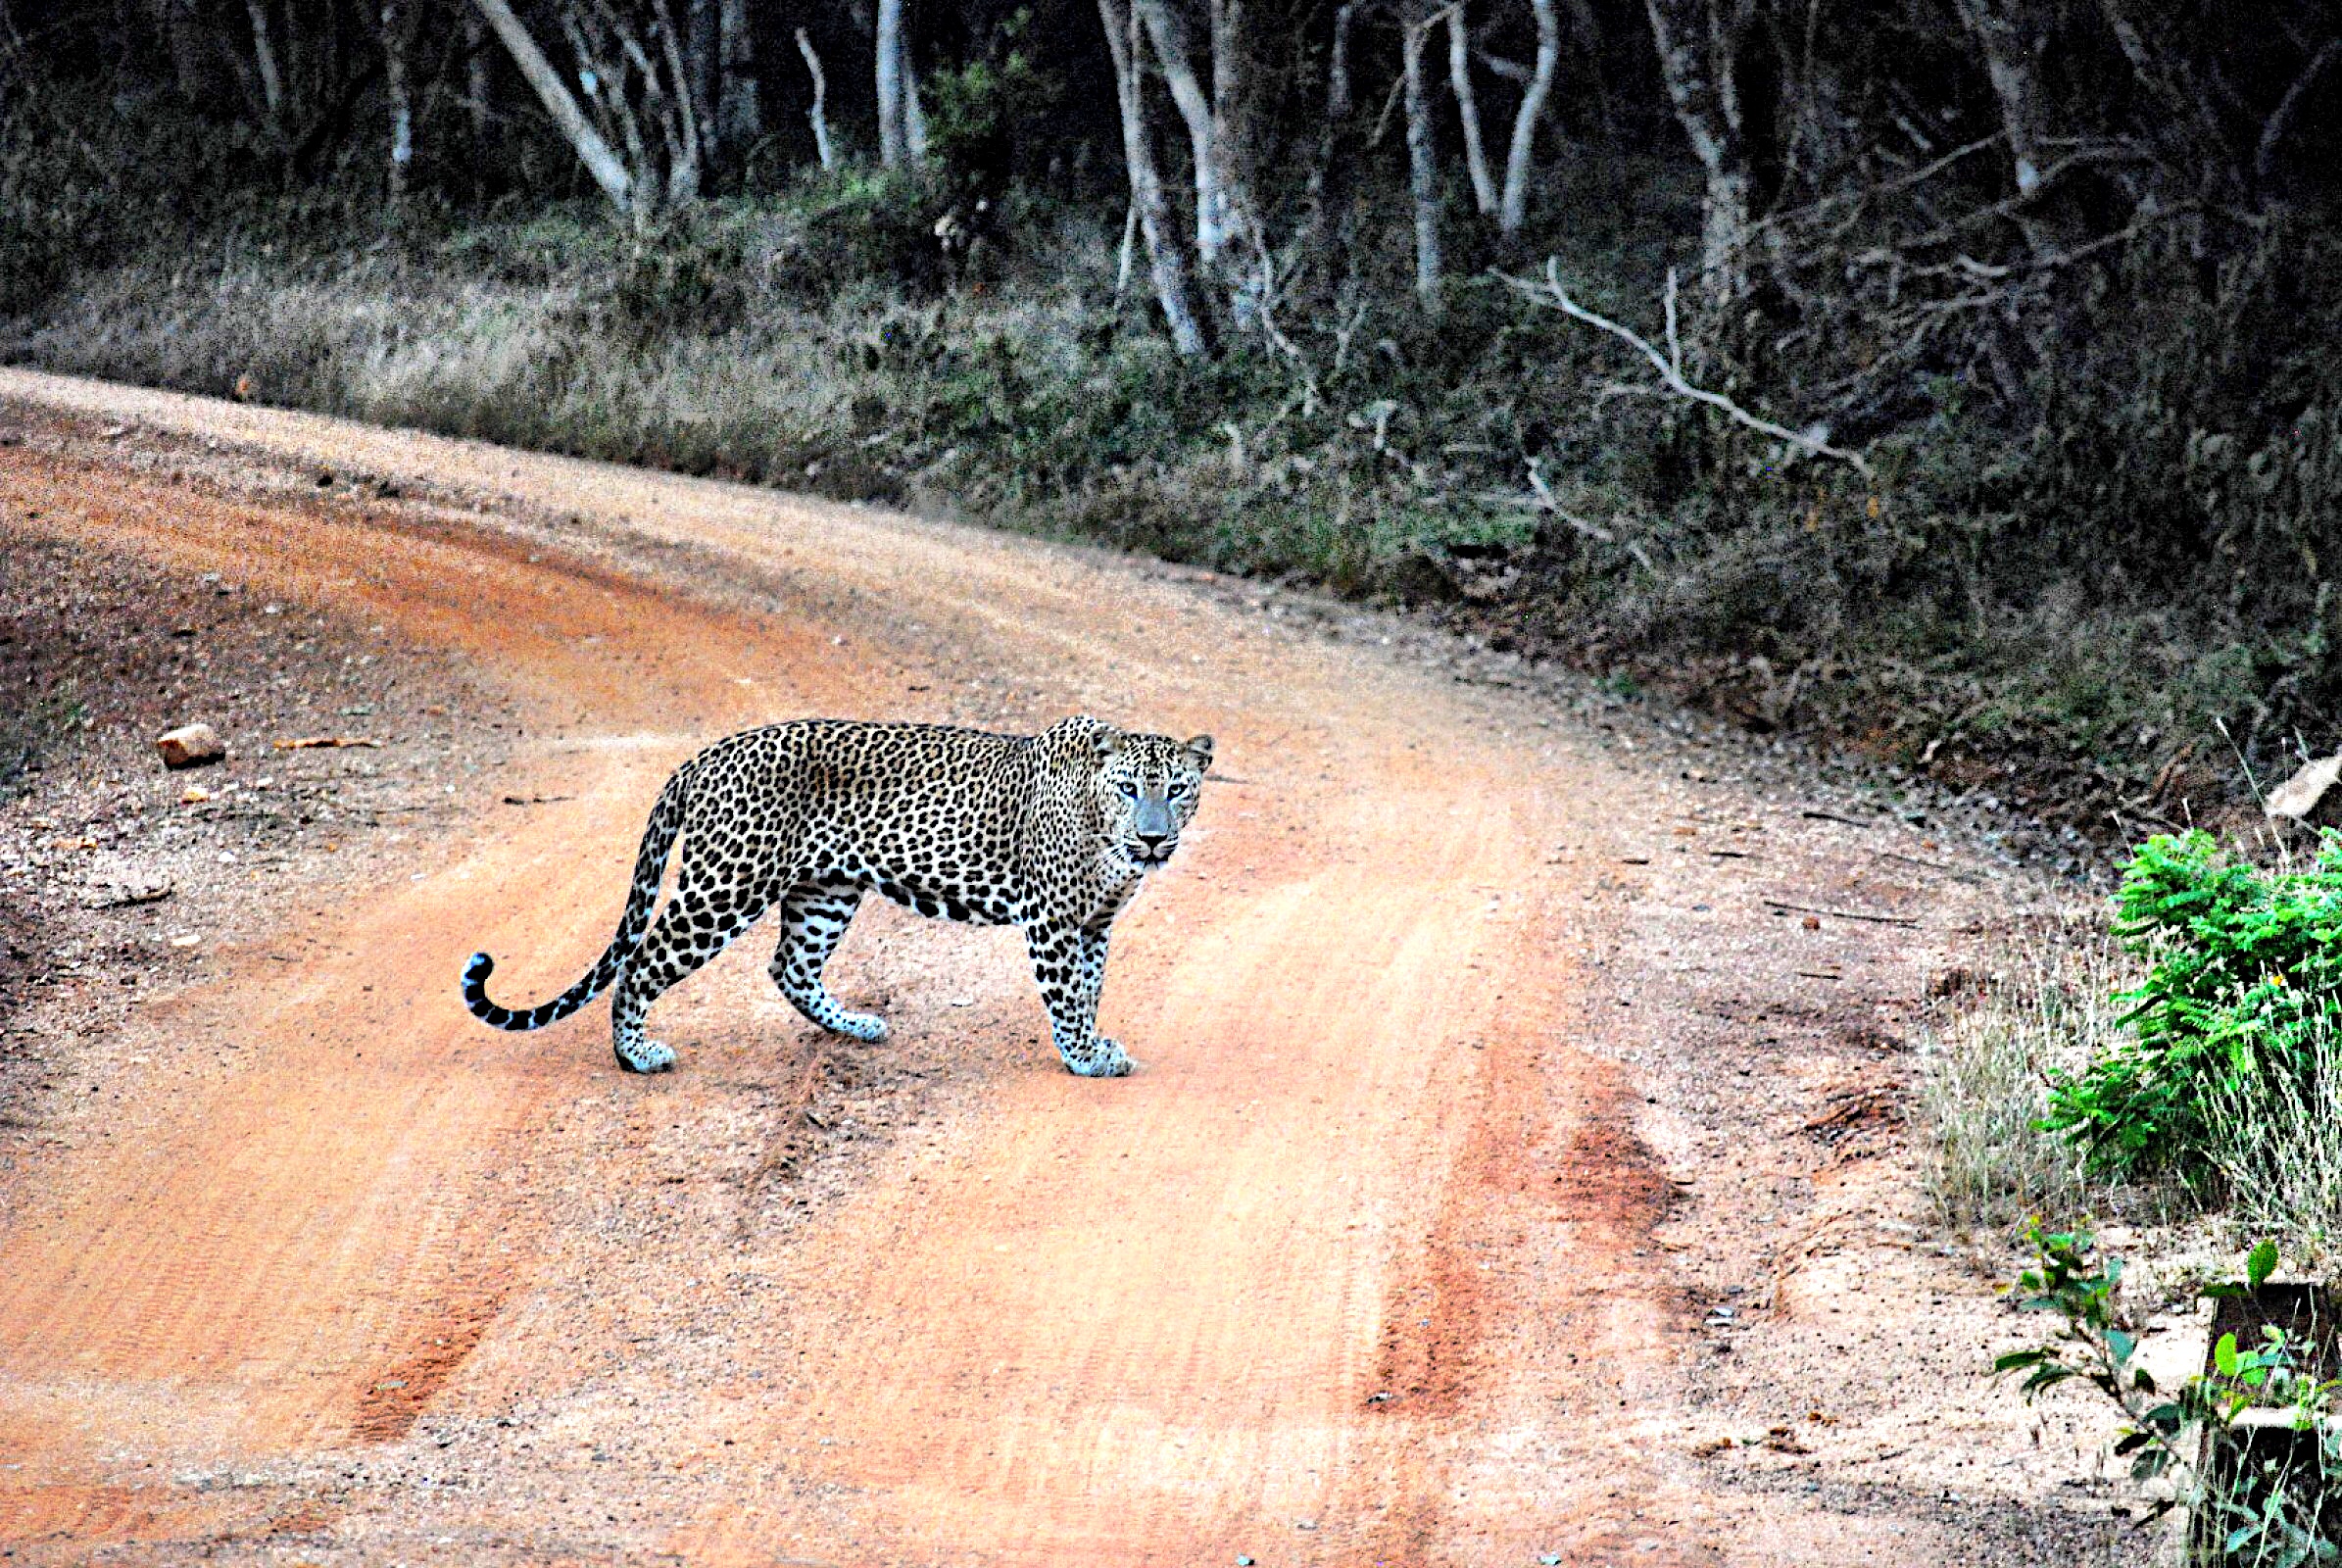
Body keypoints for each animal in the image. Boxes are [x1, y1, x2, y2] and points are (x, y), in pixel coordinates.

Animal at [464, 716, 1217, 1078]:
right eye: (1129, 788)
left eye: (1178, 789)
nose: (1153, 838)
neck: (1104, 834)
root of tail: (701, 757)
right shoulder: (1054, 919)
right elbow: (1066, 995)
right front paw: (1085, 1057)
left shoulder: (1095, 924)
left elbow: (1089, 989)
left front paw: (1092, 1043)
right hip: (727, 884)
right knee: (642, 962)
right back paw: (636, 1056)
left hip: (826, 887)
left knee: (789, 967)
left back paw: (855, 1025)